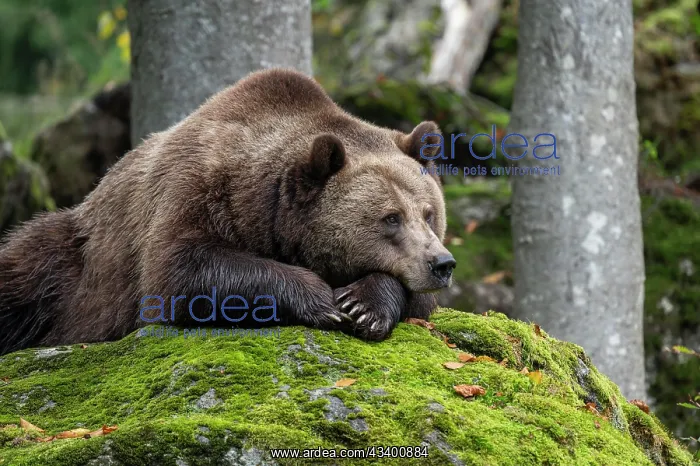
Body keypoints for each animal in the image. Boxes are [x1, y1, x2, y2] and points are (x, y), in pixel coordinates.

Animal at [0, 68, 456, 356]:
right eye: (390, 218)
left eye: (428, 213)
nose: (442, 264)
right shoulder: (195, 189)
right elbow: (180, 269)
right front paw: (320, 299)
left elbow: (416, 301)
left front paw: (363, 305)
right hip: (75, 260)